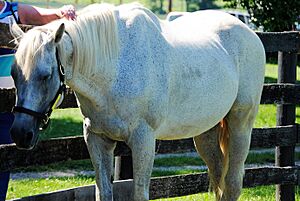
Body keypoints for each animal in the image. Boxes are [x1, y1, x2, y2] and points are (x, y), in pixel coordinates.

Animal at [10, 3, 266, 201]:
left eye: (45, 75)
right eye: (13, 74)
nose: (21, 134)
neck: (114, 66)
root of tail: (251, 34)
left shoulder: (143, 140)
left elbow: (139, 193)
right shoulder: (97, 139)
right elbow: (104, 192)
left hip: (241, 124)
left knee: (232, 183)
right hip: (206, 133)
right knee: (218, 174)